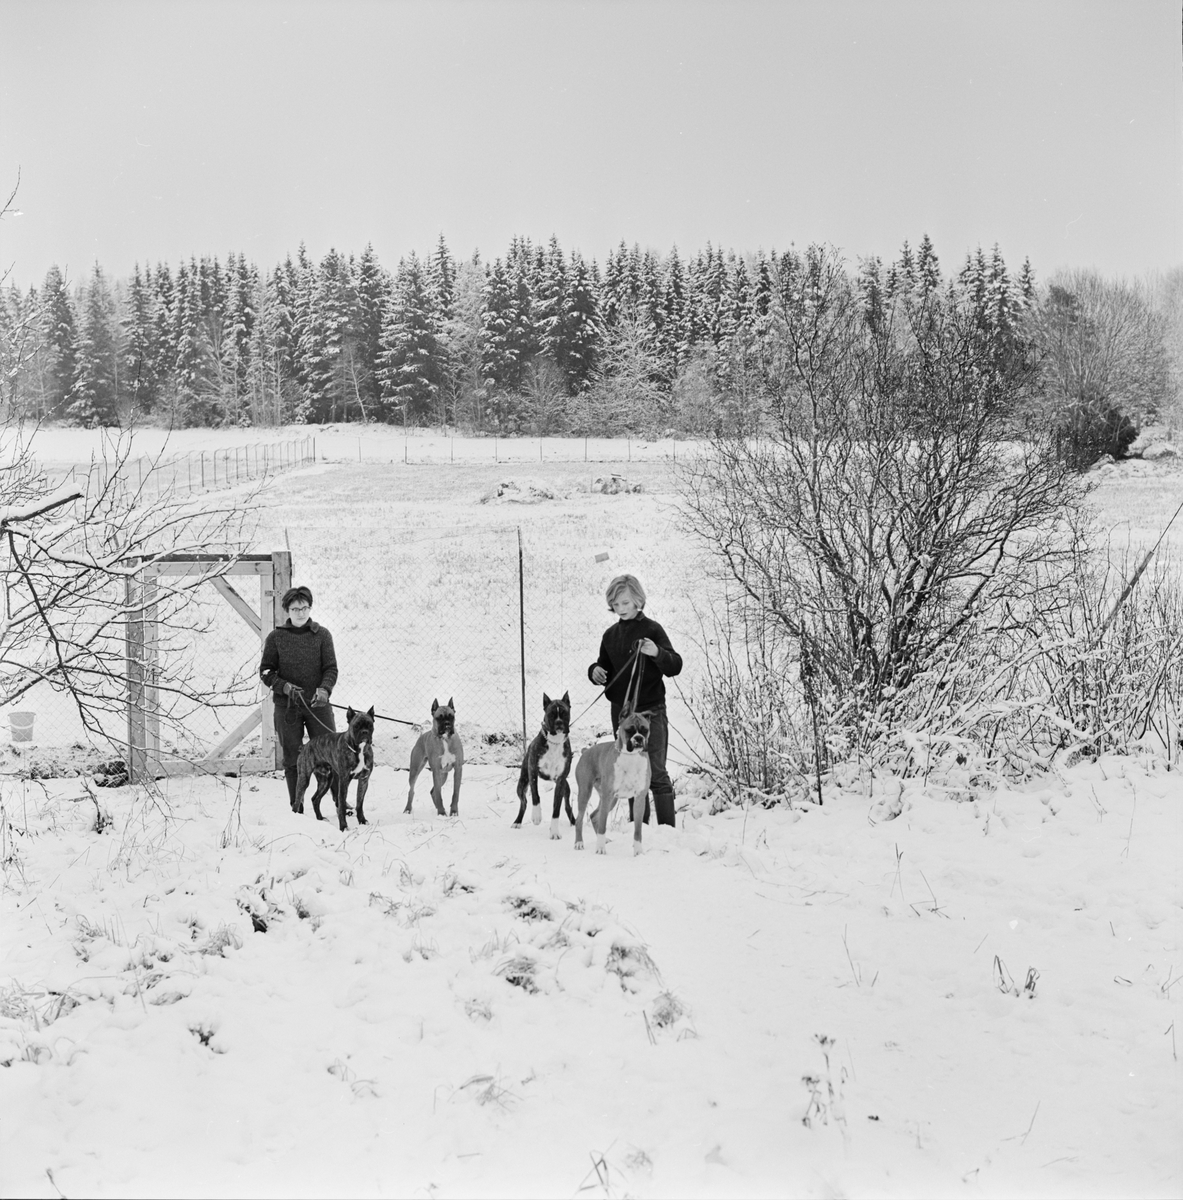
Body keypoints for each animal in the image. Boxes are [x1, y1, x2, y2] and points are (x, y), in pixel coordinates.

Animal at [291, 700, 374, 835]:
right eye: (356, 726)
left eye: (370, 725)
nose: (365, 732)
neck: (359, 750)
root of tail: (305, 746)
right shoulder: (344, 781)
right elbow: (341, 806)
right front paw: (343, 827)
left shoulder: (364, 780)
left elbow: (359, 803)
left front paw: (362, 821)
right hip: (304, 779)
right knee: (297, 801)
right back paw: (294, 817)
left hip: (325, 781)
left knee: (315, 799)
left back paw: (320, 819)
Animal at [513, 691, 573, 840]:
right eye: (551, 714)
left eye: (564, 713)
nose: (559, 722)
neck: (555, 741)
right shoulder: (533, 771)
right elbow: (535, 795)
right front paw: (536, 816)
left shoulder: (561, 780)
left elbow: (556, 808)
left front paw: (555, 832)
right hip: (521, 784)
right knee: (524, 803)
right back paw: (517, 822)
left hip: (566, 788)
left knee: (568, 806)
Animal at [568, 705, 647, 859]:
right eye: (629, 730)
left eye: (645, 730)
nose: (639, 738)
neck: (631, 757)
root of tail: (586, 750)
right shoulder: (607, 795)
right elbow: (603, 825)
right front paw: (600, 849)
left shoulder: (639, 798)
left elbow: (638, 830)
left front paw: (638, 851)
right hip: (587, 793)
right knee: (580, 819)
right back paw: (579, 843)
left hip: (611, 800)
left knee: (594, 816)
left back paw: (604, 840)